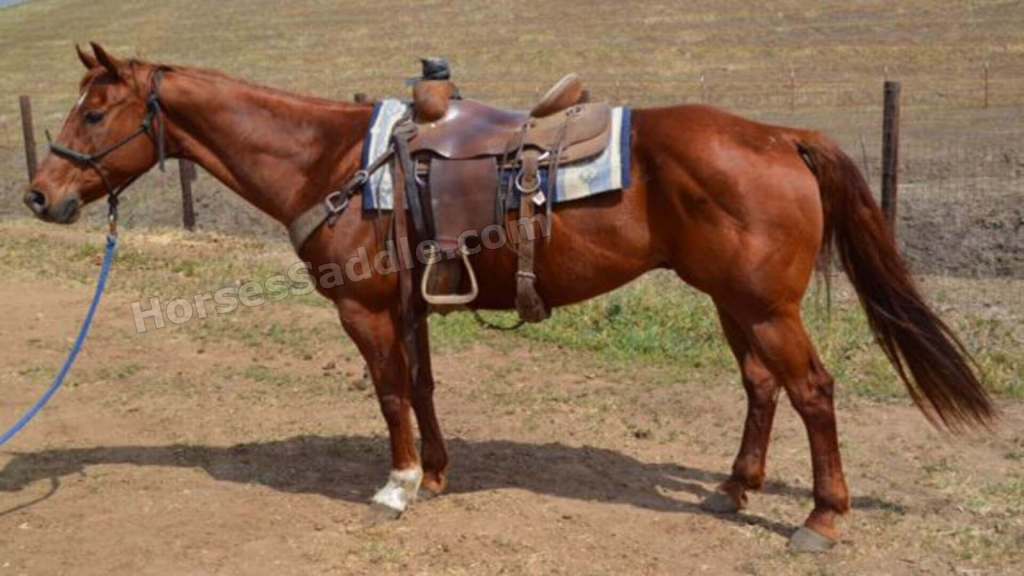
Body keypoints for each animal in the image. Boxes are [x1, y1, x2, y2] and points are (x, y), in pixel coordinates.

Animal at [24, 43, 992, 552]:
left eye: (96, 115)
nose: (39, 196)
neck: (330, 161)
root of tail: (779, 136)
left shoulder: (364, 311)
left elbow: (387, 395)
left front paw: (398, 486)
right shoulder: (409, 308)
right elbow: (420, 388)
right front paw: (438, 473)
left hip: (763, 306)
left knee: (813, 391)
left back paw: (821, 519)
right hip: (733, 302)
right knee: (762, 388)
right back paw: (734, 489)